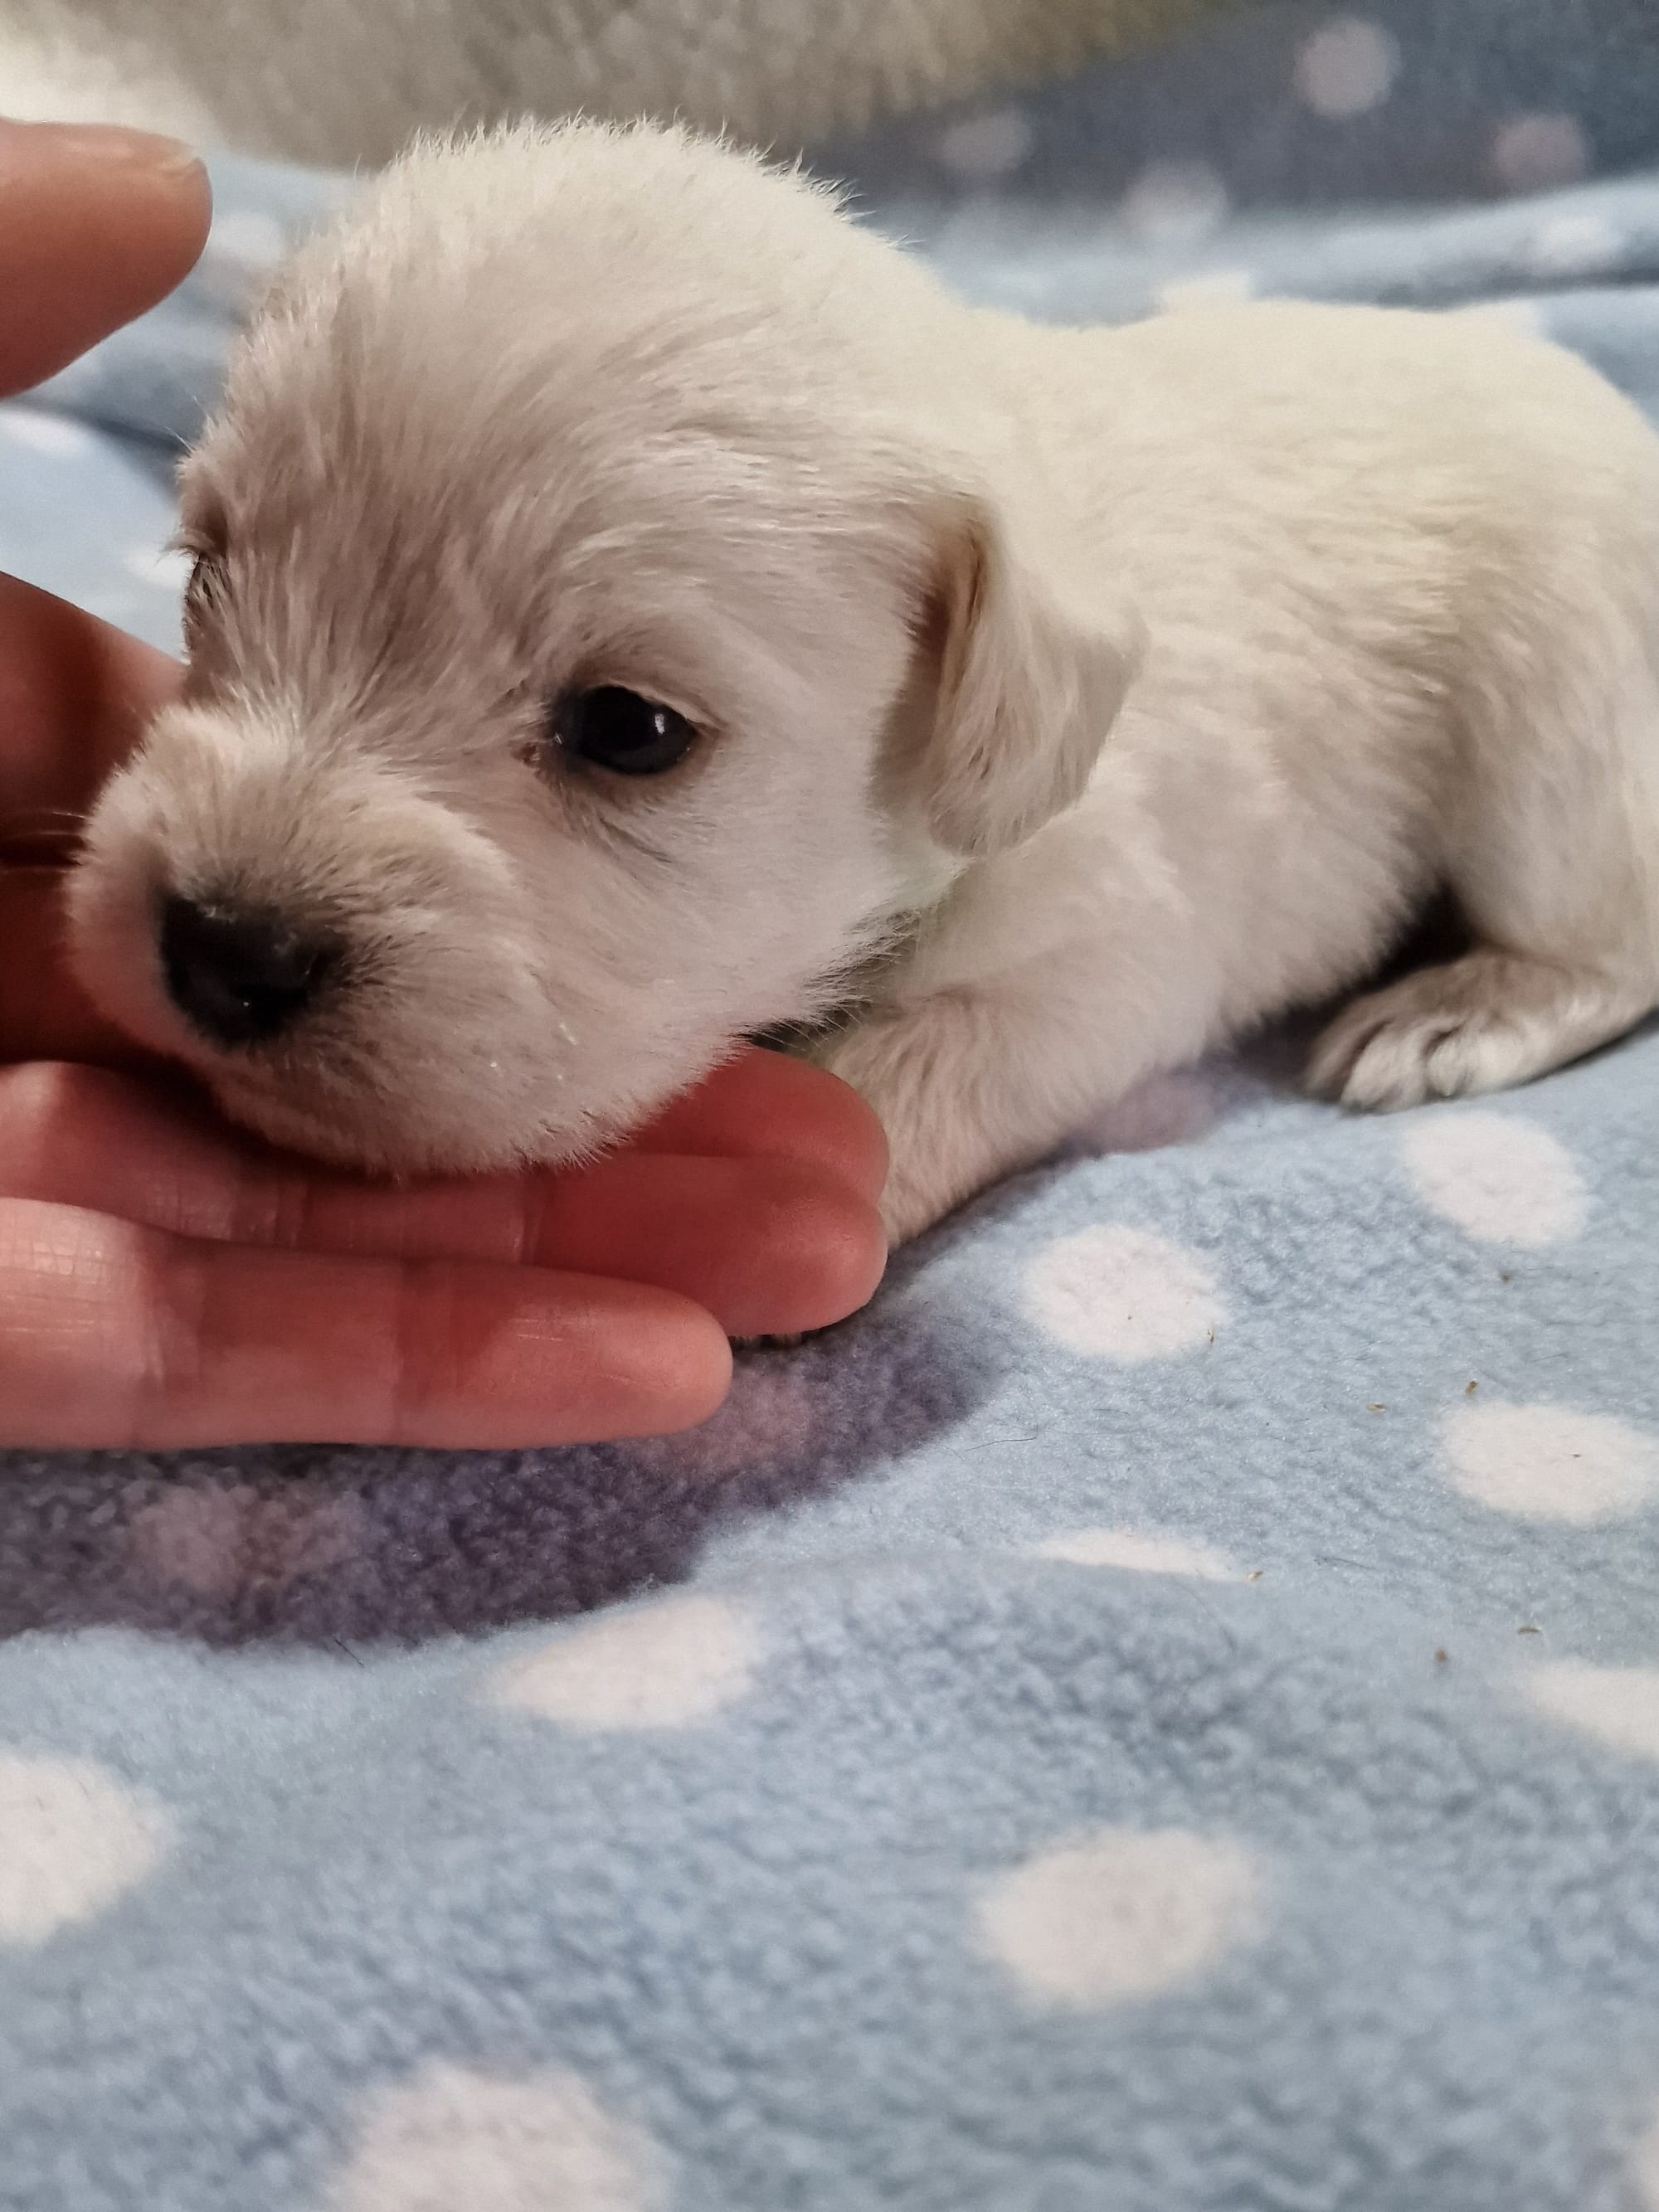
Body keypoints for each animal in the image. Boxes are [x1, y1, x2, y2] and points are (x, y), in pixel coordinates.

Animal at [71, 121, 1659, 1238]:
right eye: (205, 575)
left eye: (630, 729)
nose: (222, 950)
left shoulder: (1111, 948)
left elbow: (925, 1070)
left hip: (1560, 712)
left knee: (1611, 927)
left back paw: (1461, 1009)